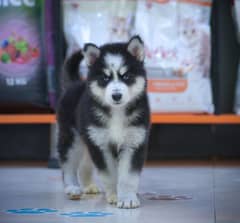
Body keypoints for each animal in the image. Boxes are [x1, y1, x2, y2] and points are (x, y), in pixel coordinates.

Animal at [57, 35, 150, 208]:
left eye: (126, 76)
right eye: (105, 78)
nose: (116, 96)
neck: (117, 113)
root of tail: (75, 83)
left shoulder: (133, 142)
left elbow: (128, 177)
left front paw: (127, 198)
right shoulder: (101, 145)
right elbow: (109, 174)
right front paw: (114, 195)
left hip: (88, 138)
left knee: (84, 165)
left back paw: (88, 186)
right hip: (73, 138)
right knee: (68, 164)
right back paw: (72, 187)